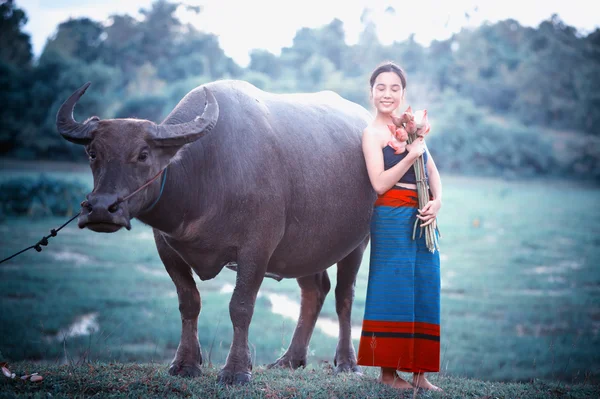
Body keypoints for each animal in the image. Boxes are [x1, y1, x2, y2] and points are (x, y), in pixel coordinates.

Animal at [56, 80, 376, 384]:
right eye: (93, 153)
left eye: (143, 154)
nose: (100, 208)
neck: (206, 176)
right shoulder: (166, 248)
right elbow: (189, 302)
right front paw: (185, 363)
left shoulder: (257, 248)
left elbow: (240, 306)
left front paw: (236, 370)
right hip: (304, 249)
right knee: (315, 290)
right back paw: (290, 359)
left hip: (358, 241)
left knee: (344, 296)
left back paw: (346, 363)